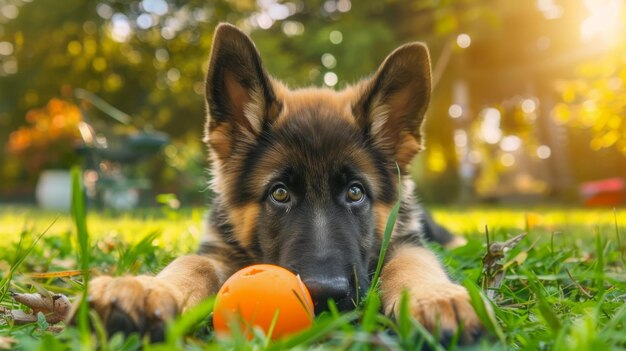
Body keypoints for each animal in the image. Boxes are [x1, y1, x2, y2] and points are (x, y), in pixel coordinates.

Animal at [80, 23, 480, 346]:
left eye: (355, 192)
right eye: (280, 194)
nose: (325, 295)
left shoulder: (405, 240)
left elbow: (413, 263)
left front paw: (435, 298)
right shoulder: (218, 250)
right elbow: (190, 264)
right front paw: (148, 289)